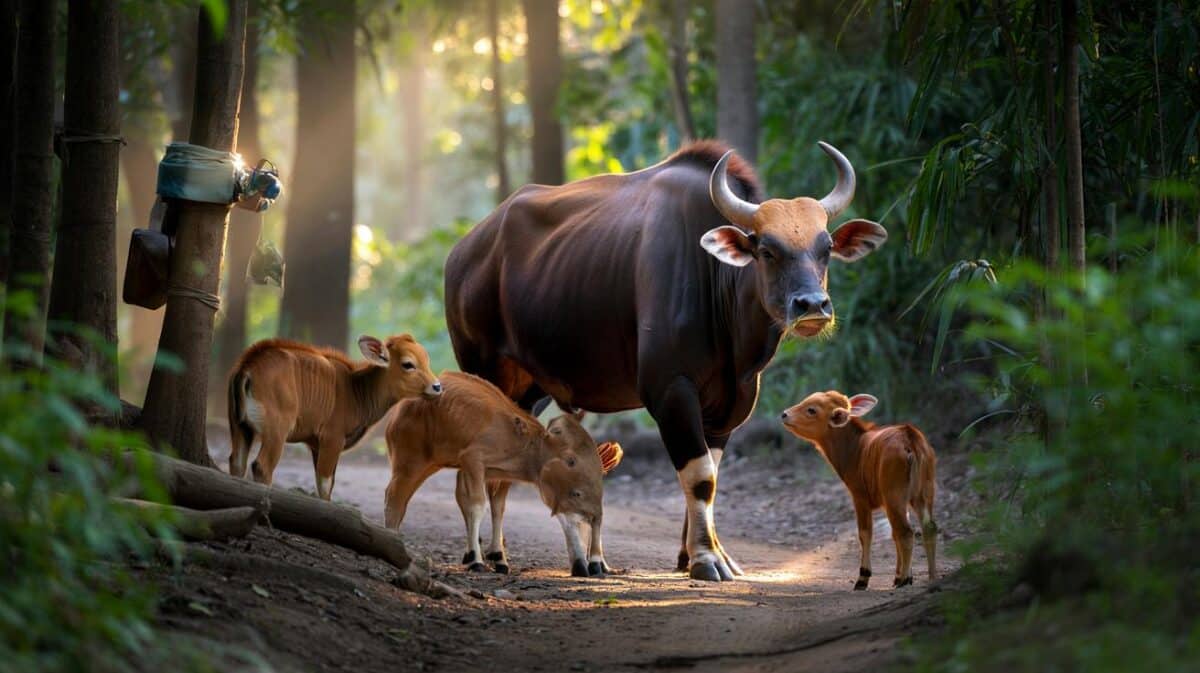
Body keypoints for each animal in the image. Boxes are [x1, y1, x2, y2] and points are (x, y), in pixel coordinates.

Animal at [227, 335, 442, 500]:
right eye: (408, 364)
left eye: (426, 361)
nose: (437, 386)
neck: (355, 390)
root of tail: (248, 366)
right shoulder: (332, 440)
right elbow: (325, 484)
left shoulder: (317, 445)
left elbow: (327, 484)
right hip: (277, 432)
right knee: (262, 467)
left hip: (240, 427)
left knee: (237, 462)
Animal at [383, 371, 623, 577]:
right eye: (576, 493)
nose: (593, 515)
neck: (520, 440)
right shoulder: (473, 460)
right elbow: (477, 505)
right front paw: (477, 560)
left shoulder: (495, 474)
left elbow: (497, 507)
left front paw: (497, 558)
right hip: (411, 462)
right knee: (394, 498)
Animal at [444, 140, 887, 581]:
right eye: (766, 250)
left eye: (825, 249)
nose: (812, 305)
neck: (715, 286)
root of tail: (463, 252)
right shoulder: (670, 390)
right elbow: (700, 476)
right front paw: (706, 560)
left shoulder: (730, 404)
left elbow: (711, 475)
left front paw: (700, 555)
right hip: (481, 368)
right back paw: (483, 554)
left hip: (530, 389)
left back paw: (527, 555)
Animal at [781, 391, 938, 589]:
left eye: (811, 410)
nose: (784, 414)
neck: (855, 449)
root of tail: (911, 439)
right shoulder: (886, 502)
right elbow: (892, 534)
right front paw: (902, 575)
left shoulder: (859, 496)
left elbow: (865, 533)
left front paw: (864, 578)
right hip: (924, 491)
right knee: (927, 528)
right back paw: (932, 578)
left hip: (895, 493)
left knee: (906, 532)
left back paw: (903, 581)